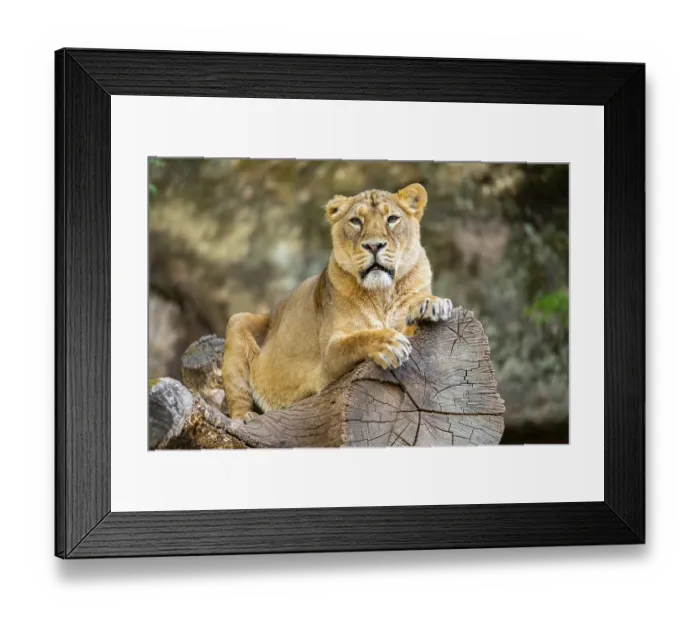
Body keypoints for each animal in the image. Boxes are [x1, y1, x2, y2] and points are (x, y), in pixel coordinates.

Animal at [222, 183, 453, 420]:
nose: (374, 246)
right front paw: (390, 344)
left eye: (392, 219)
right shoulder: (329, 359)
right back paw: (245, 416)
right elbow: (358, 339)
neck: (382, 292)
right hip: (238, 322)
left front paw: (432, 304)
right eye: (356, 221)